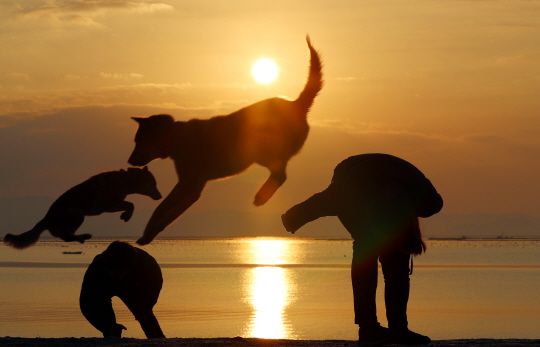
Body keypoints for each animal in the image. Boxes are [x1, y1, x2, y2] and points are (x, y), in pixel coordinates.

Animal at [2, 167, 162, 250]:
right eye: (153, 184)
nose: (160, 196)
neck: (125, 179)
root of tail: (45, 219)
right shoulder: (109, 206)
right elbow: (131, 204)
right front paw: (126, 216)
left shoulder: (112, 205)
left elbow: (130, 204)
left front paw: (125, 215)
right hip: (78, 213)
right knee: (65, 237)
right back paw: (82, 236)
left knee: (65, 236)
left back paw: (83, 237)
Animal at [129, 36, 322, 246]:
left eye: (138, 141)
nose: (129, 161)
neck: (174, 137)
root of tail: (298, 104)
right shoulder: (193, 188)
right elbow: (169, 213)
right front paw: (150, 234)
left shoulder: (188, 183)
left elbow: (160, 208)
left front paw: (148, 231)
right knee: (280, 173)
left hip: (258, 148)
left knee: (281, 175)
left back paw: (261, 196)